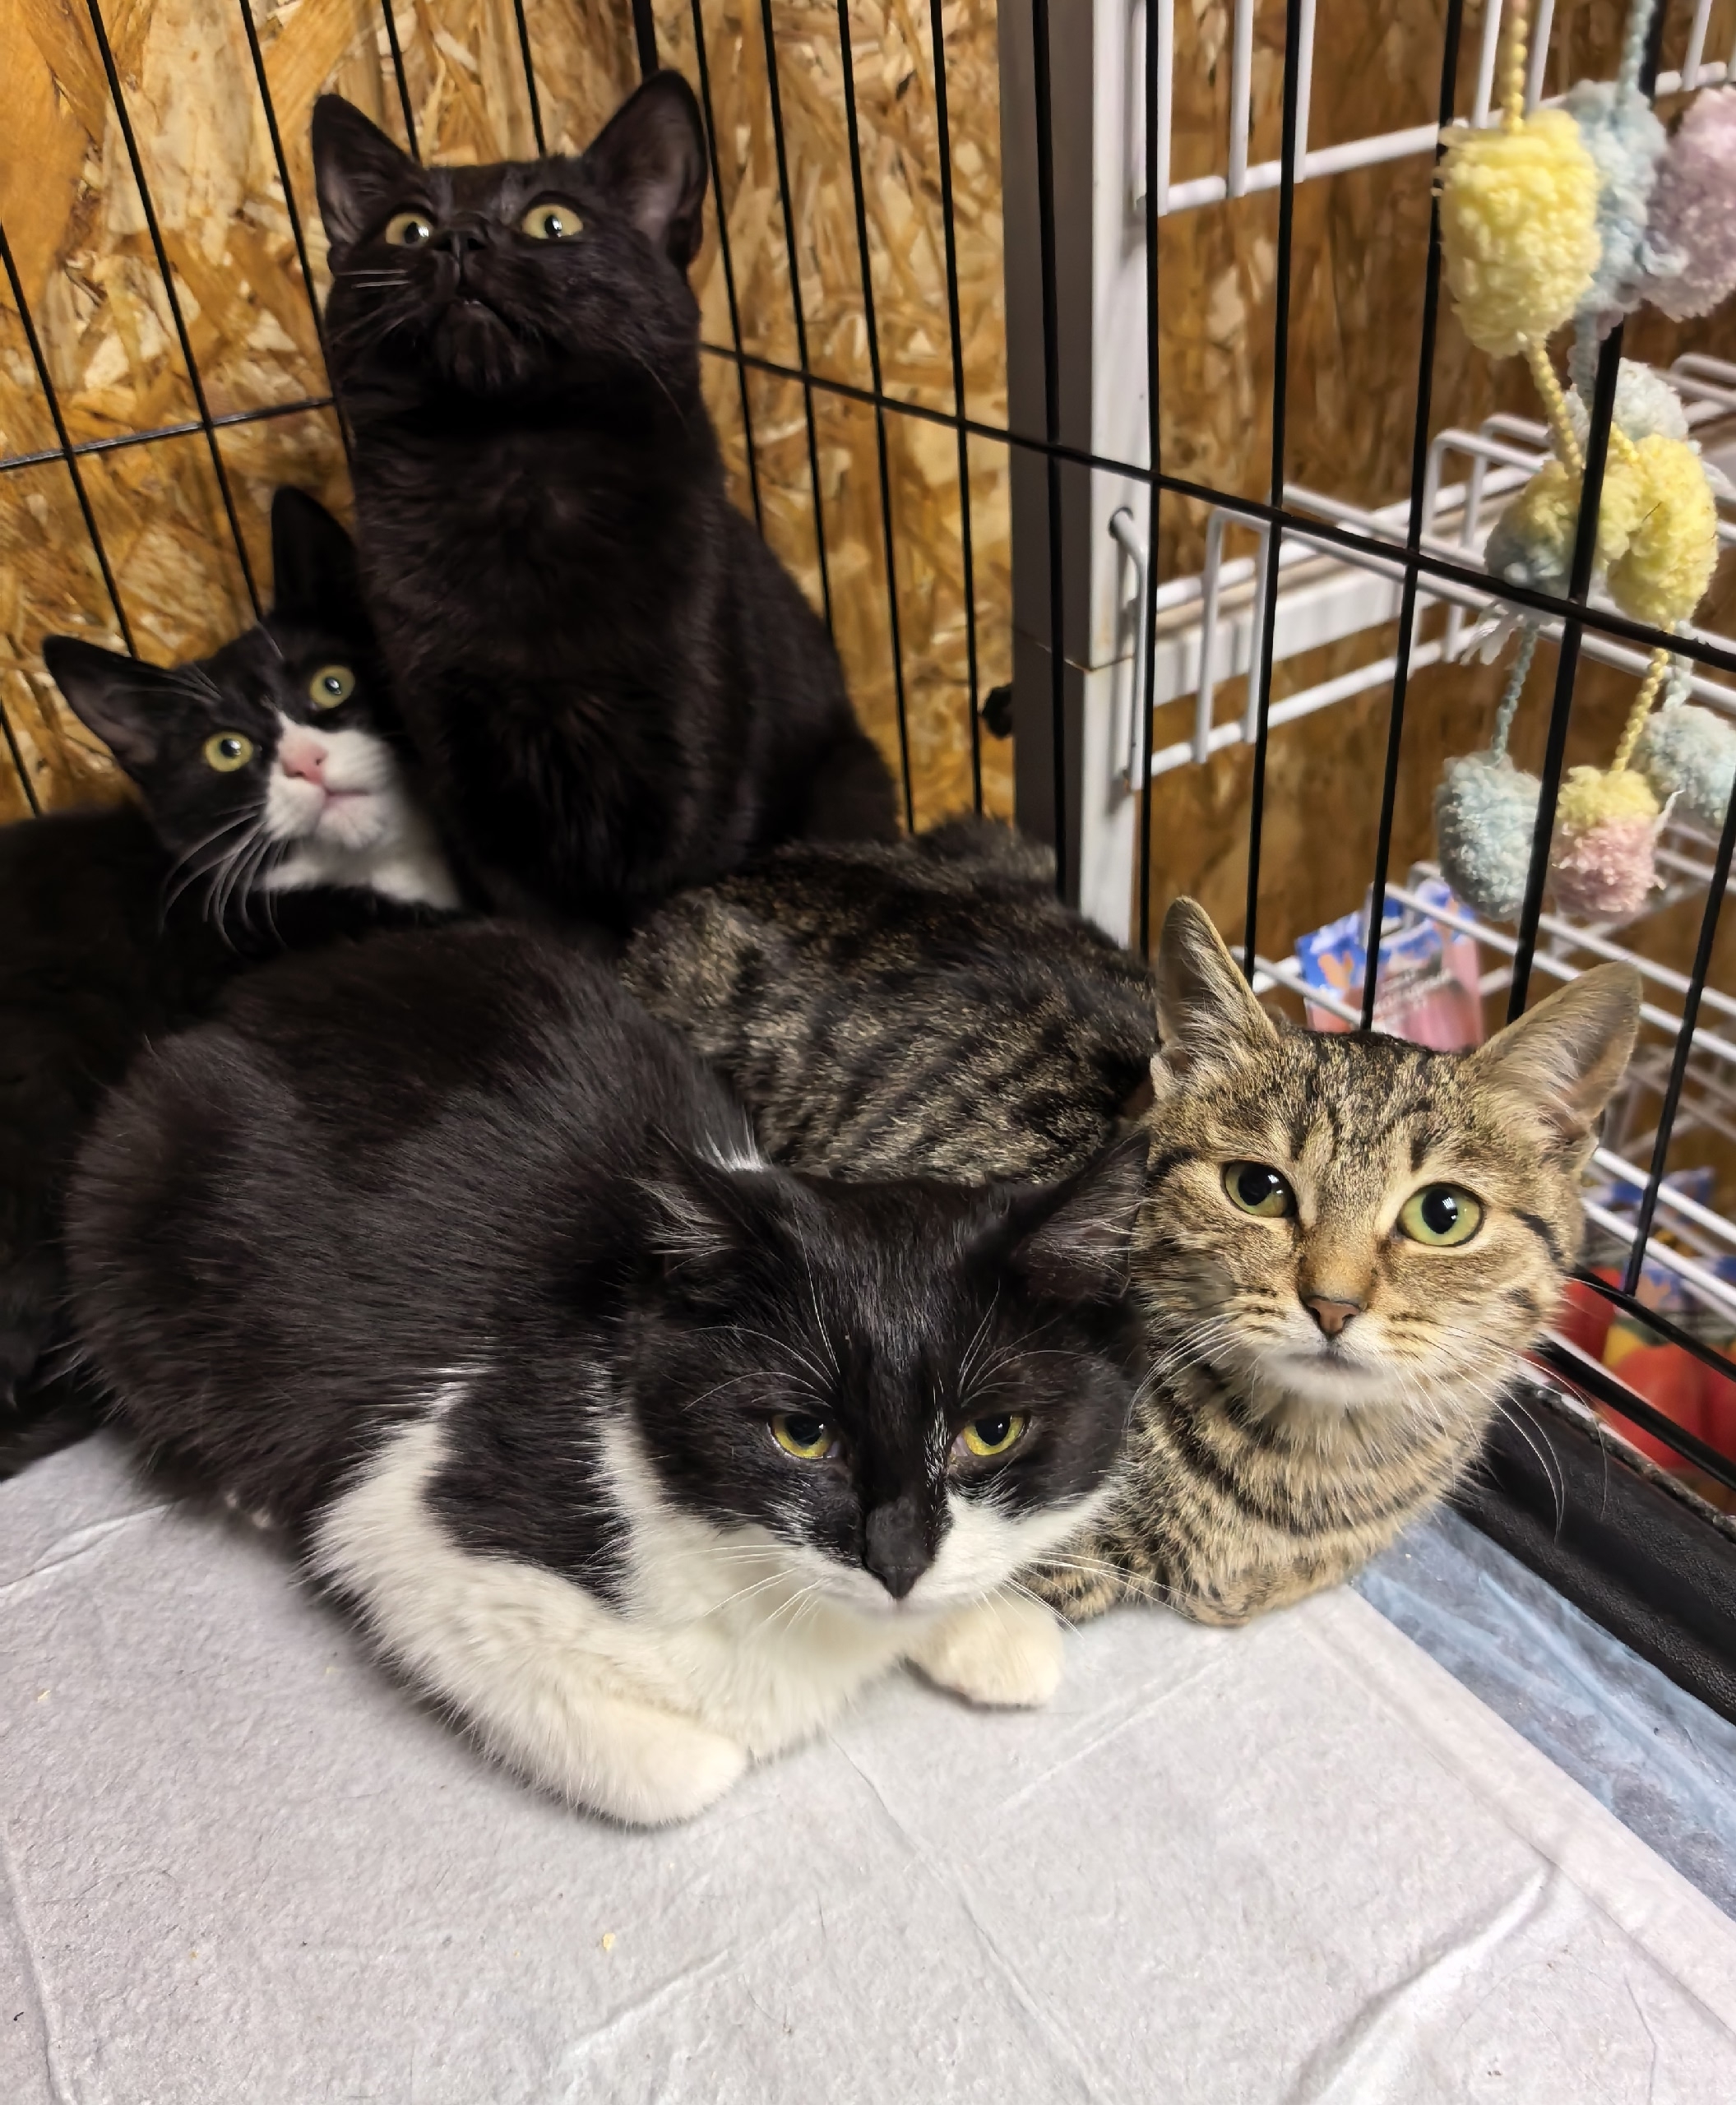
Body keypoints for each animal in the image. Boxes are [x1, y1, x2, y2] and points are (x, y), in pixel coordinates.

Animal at [64, 922, 1146, 1824]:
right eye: (802, 1434)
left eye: (990, 1431)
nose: (897, 1559)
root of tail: (248, 995)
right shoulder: (412, 1509)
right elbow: (683, 1770)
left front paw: (991, 1629)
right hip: (142, 1187)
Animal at [311, 69, 897, 932]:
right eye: (407, 228)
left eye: (552, 221)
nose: (459, 241)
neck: (512, 472)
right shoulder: (466, 780)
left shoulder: (696, 755)